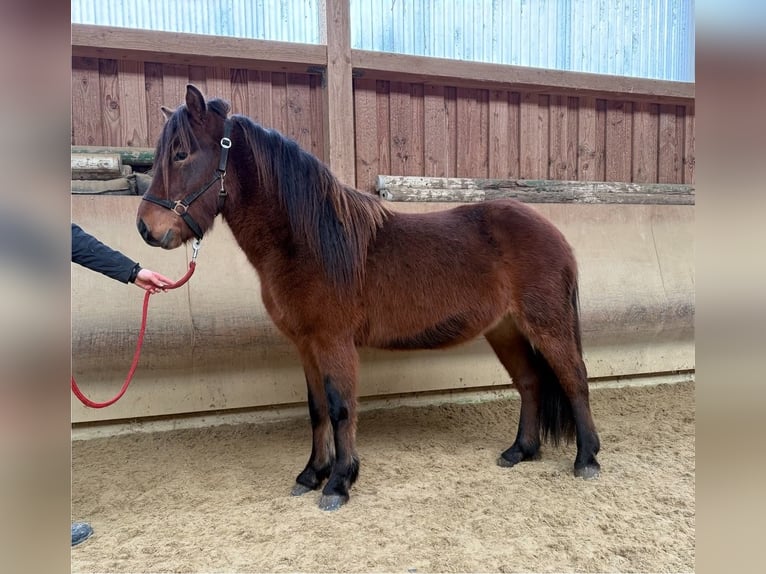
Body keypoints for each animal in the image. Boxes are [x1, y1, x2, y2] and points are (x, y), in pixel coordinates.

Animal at [141, 85, 604, 512]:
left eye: (181, 153)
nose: (146, 228)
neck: (310, 241)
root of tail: (554, 233)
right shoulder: (306, 345)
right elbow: (316, 409)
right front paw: (311, 474)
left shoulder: (334, 342)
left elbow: (341, 408)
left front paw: (338, 483)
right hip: (504, 329)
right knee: (529, 382)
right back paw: (519, 451)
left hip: (547, 324)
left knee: (573, 378)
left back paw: (586, 460)